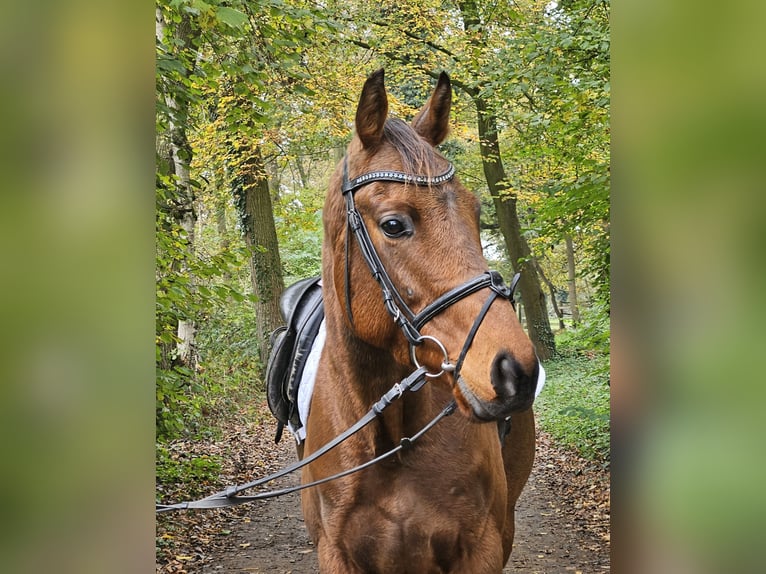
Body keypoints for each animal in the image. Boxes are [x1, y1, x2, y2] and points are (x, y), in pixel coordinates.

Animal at [300, 70, 540, 572]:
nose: (517, 371)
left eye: (476, 213)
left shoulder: (483, 549)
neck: (392, 443)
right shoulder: (335, 553)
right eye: (394, 224)